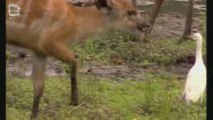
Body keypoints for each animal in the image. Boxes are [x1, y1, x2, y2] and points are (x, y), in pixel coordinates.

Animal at [5, 0, 144, 118]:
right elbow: (74, 61)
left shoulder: (39, 51)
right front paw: (74, 101)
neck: (76, 21)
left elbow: (39, 87)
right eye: (130, 11)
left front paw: (33, 116)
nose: (145, 25)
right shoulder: (49, 42)